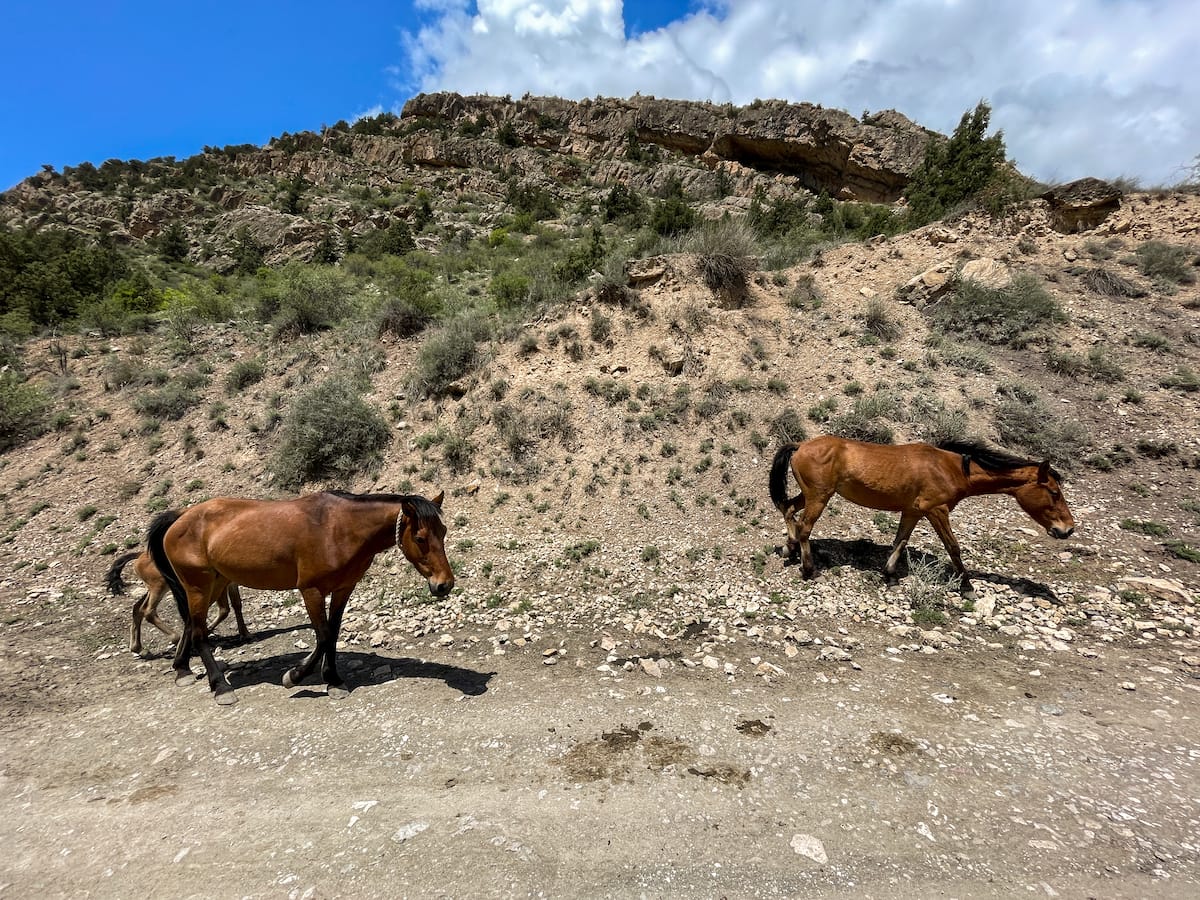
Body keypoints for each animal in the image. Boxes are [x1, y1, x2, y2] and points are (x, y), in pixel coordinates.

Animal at [106, 549, 249, 657]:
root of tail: (140, 555)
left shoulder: (231, 585)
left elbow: (237, 604)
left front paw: (244, 633)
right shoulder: (219, 587)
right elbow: (224, 610)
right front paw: (208, 630)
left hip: (154, 589)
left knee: (137, 608)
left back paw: (138, 648)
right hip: (159, 587)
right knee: (148, 611)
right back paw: (175, 638)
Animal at [146, 489, 453, 710]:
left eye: (444, 532)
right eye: (420, 537)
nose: (444, 585)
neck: (339, 528)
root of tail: (182, 516)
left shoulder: (343, 588)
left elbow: (333, 633)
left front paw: (333, 680)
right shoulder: (311, 590)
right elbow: (323, 635)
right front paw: (294, 676)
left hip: (214, 583)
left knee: (190, 626)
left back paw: (182, 670)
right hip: (198, 586)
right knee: (199, 633)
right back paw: (221, 687)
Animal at [768, 439, 1080, 600]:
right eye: (1054, 492)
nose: (1067, 529)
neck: (953, 468)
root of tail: (800, 446)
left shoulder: (913, 511)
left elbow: (900, 541)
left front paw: (890, 576)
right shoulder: (936, 510)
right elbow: (953, 548)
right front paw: (968, 588)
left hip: (812, 495)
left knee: (788, 510)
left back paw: (788, 549)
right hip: (819, 497)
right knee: (804, 527)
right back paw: (809, 569)